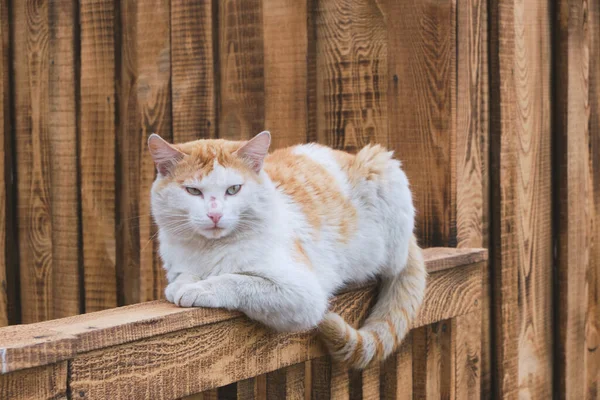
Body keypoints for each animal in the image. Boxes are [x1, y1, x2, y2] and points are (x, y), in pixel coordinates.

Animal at [148, 131, 426, 368]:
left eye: (234, 189)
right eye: (193, 191)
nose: (214, 215)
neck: (210, 248)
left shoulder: (302, 294)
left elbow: (236, 280)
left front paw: (199, 288)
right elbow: (186, 274)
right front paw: (183, 283)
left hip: (383, 169)